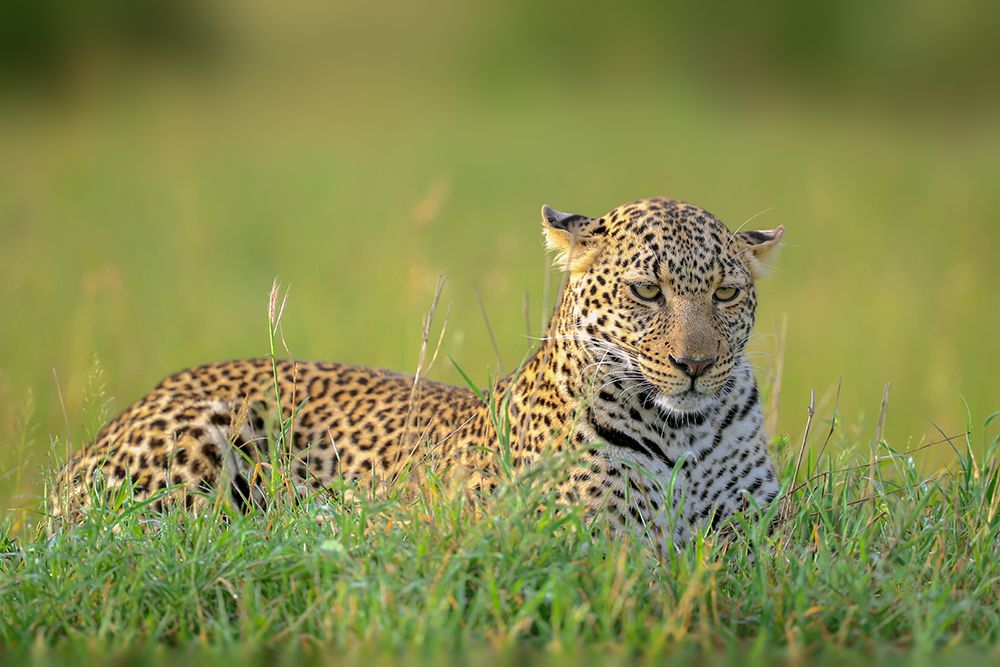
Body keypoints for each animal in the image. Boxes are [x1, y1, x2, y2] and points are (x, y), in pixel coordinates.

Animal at [51, 197, 785, 549]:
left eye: (725, 293)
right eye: (646, 291)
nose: (696, 365)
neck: (687, 431)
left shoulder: (764, 534)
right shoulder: (606, 540)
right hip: (200, 437)